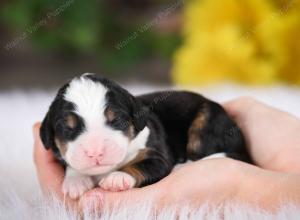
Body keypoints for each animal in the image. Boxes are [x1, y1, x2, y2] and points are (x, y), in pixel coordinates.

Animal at [40, 73, 251, 199]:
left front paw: (117, 178)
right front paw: (76, 182)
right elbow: (72, 164)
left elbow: (142, 166)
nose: (96, 152)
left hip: (206, 121)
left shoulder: (158, 156)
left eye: (117, 120)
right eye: (67, 128)